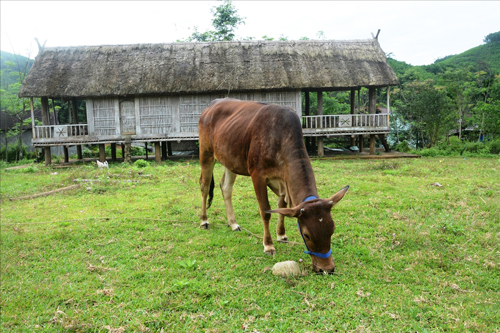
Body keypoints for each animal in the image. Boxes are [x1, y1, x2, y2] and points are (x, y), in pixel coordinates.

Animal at [198, 98, 348, 272]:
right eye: (306, 234)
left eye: (332, 229)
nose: (327, 269)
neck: (280, 137)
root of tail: (211, 106)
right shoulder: (257, 175)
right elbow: (266, 211)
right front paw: (268, 245)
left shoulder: (283, 181)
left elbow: (282, 208)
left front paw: (281, 235)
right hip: (206, 153)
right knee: (204, 186)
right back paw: (204, 221)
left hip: (230, 160)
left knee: (226, 188)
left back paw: (233, 223)